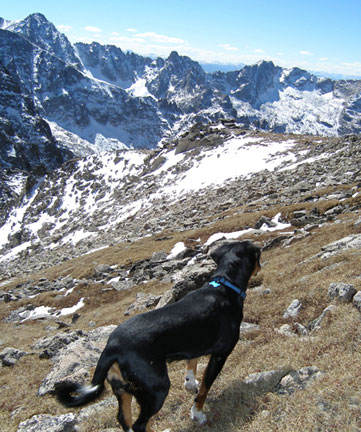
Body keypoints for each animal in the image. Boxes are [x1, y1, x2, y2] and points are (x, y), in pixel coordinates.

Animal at [54, 241, 260, 432]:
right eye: (258, 253)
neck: (225, 286)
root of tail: (111, 348)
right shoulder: (220, 355)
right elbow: (204, 388)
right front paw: (198, 413)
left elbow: (192, 362)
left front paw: (190, 382)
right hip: (157, 388)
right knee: (139, 424)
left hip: (123, 389)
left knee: (124, 419)